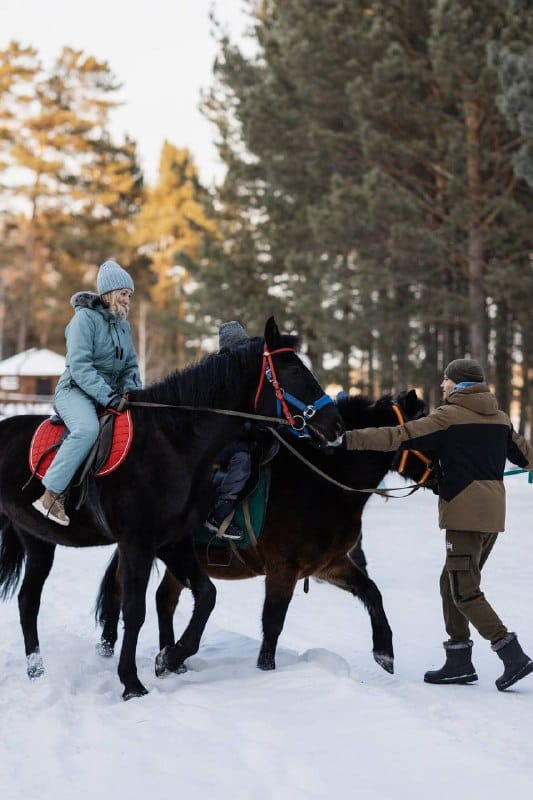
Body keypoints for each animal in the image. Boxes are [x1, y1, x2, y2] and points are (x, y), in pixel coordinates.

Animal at [0, 316, 340, 696]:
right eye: (293, 370)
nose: (336, 424)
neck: (172, 444)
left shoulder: (172, 542)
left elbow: (206, 595)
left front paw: (170, 657)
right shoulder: (138, 543)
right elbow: (135, 610)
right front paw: (132, 682)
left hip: (38, 540)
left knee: (28, 601)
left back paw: (37, 671)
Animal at [94, 390, 428, 680]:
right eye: (427, 430)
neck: (321, 482)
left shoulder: (328, 564)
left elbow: (371, 592)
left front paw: (384, 653)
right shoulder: (284, 569)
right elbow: (273, 623)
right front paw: (266, 670)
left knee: (165, 599)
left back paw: (172, 658)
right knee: (123, 591)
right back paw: (113, 647)